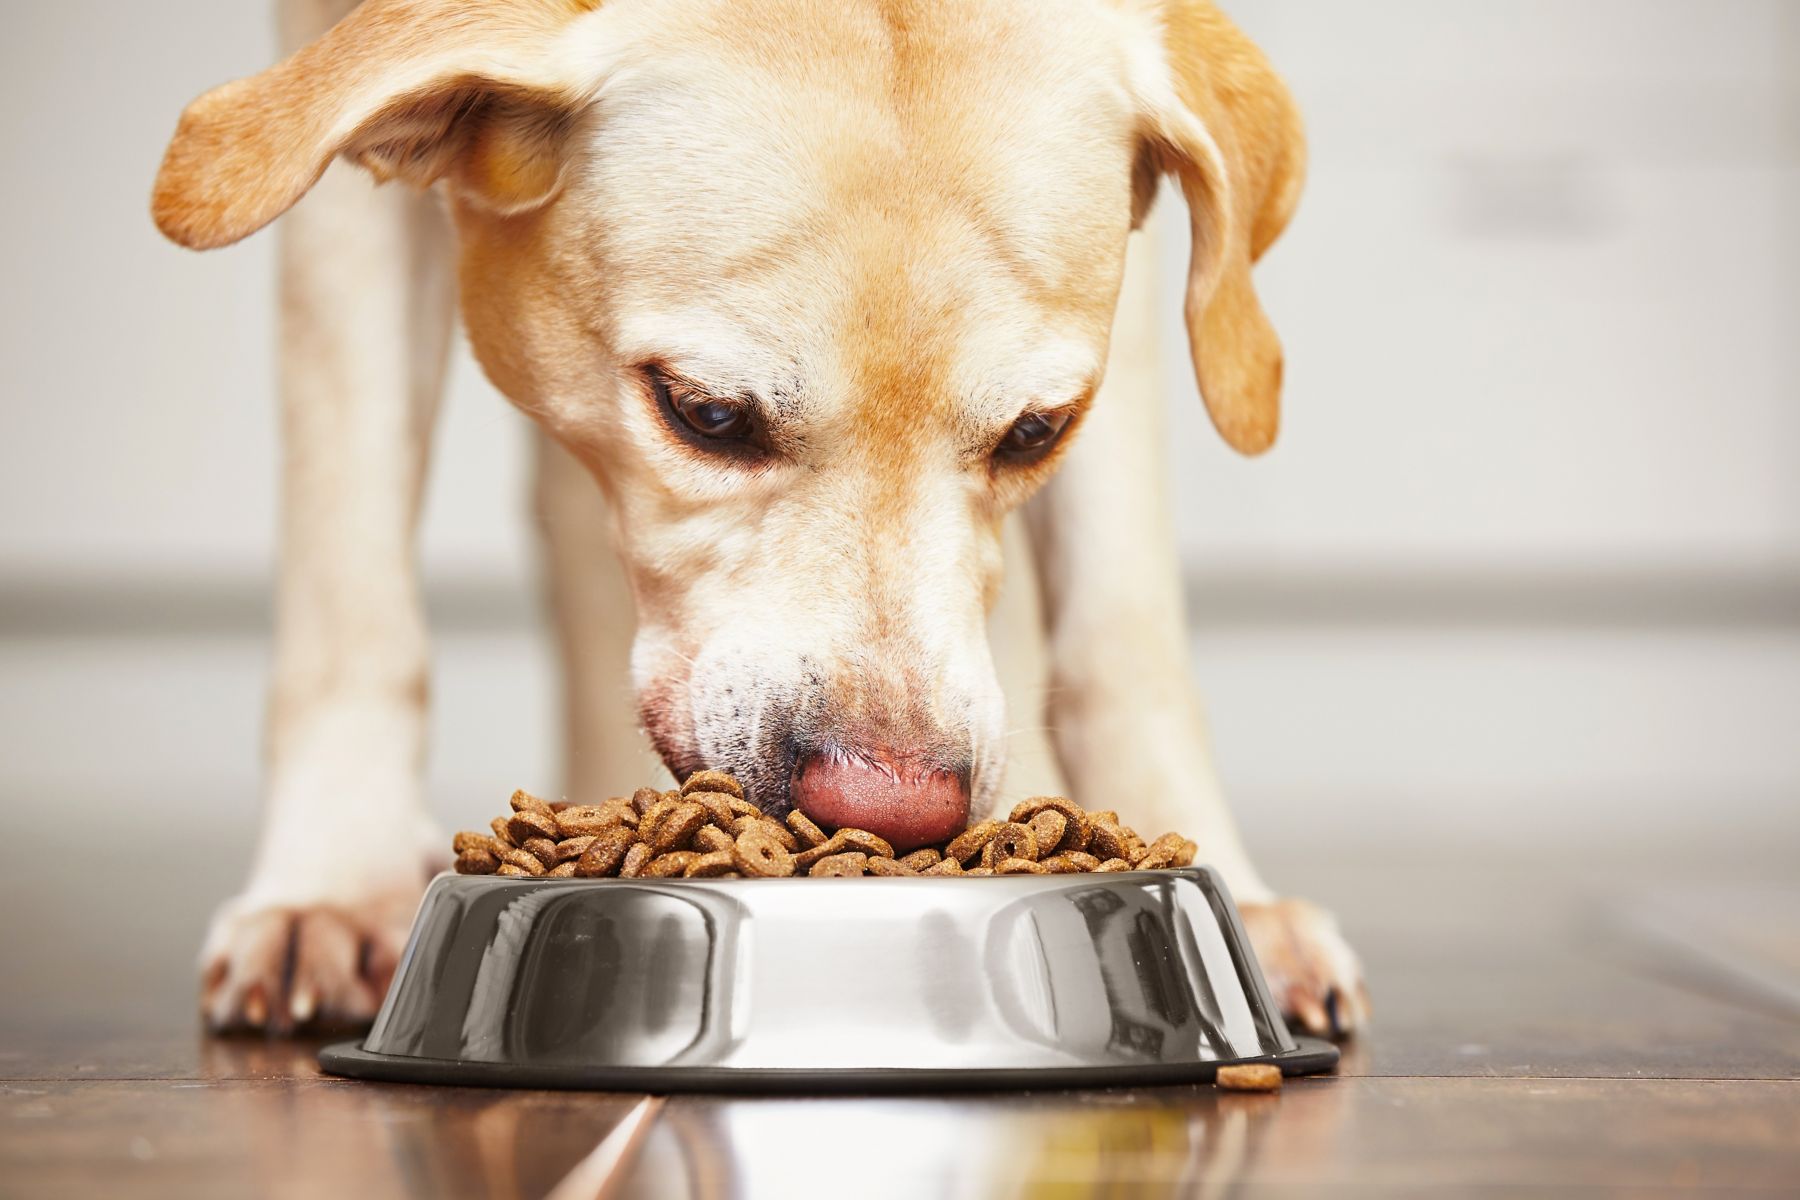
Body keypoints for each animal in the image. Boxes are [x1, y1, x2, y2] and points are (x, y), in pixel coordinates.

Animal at [154, 0, 1360, 1036]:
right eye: (707, 414)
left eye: (1034, 432)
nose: (894, 810)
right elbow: (350, 574)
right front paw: (335, 883)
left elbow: (1125, 623)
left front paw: (1221, 887)